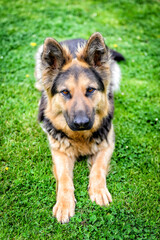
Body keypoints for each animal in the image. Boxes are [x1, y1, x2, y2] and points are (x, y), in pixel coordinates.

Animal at [34, 32, 125, 223]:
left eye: (90, 90)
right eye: (65, 92)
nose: (81, 123)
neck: (80, 137)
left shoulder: (108, 144)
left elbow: (98, 168)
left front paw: (99, 191)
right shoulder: (59, 152)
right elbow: (64, 178)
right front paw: (64, 204)